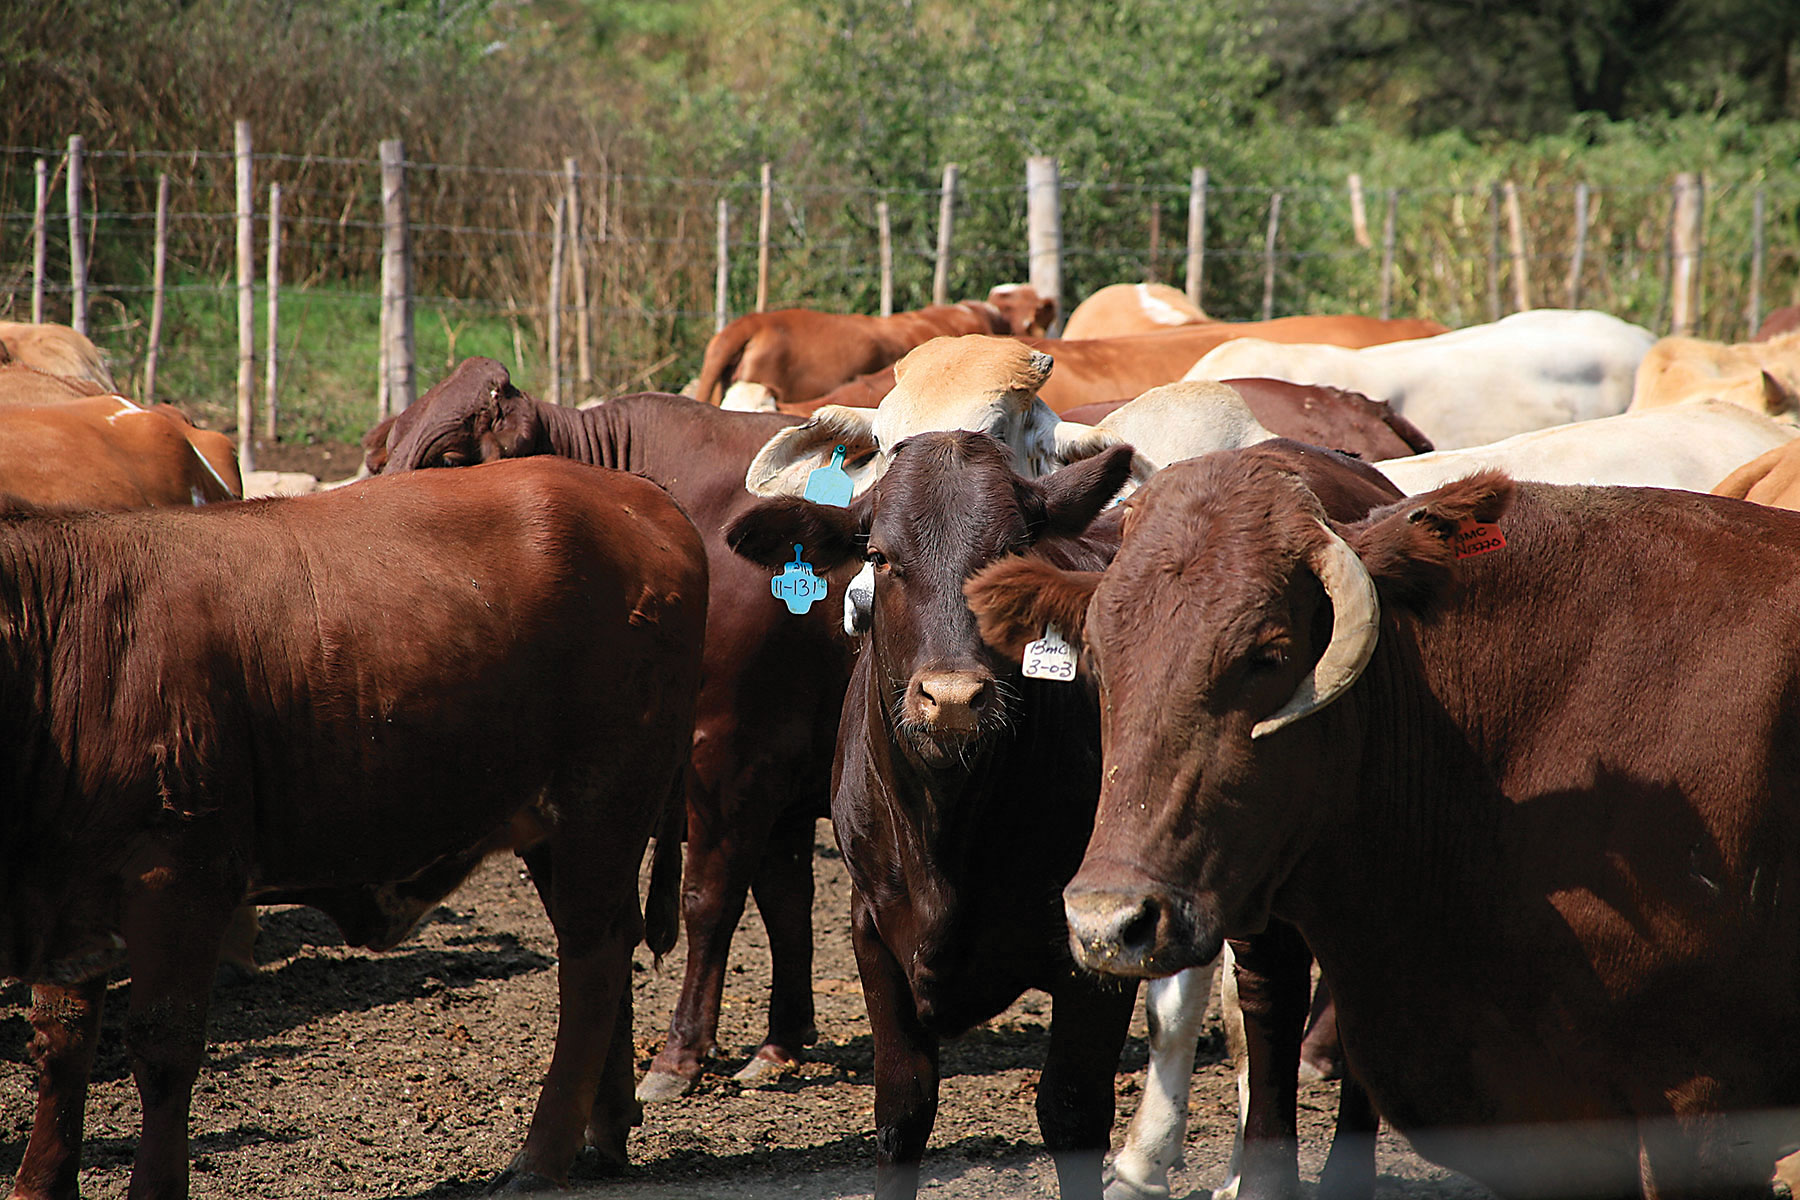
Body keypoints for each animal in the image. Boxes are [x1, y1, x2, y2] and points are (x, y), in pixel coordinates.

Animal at [0, 456, 707, 1198]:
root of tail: (636, 494)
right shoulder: (69, 891)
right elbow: (62, 1041)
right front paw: (38, 1183)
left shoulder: (182, 877)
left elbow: (164, 1045)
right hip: (555, 828)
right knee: (610, 944)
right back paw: (605, 1131)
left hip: (600, 805)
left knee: (593, 961)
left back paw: (540, 1156)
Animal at [367, 357, 858, 1101]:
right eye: (386, 451)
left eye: (449, 460)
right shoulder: (780, 778)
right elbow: (784, 901)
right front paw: (782, 1042)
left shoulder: (733, 760)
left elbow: (709, 902)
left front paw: (679, 1056)